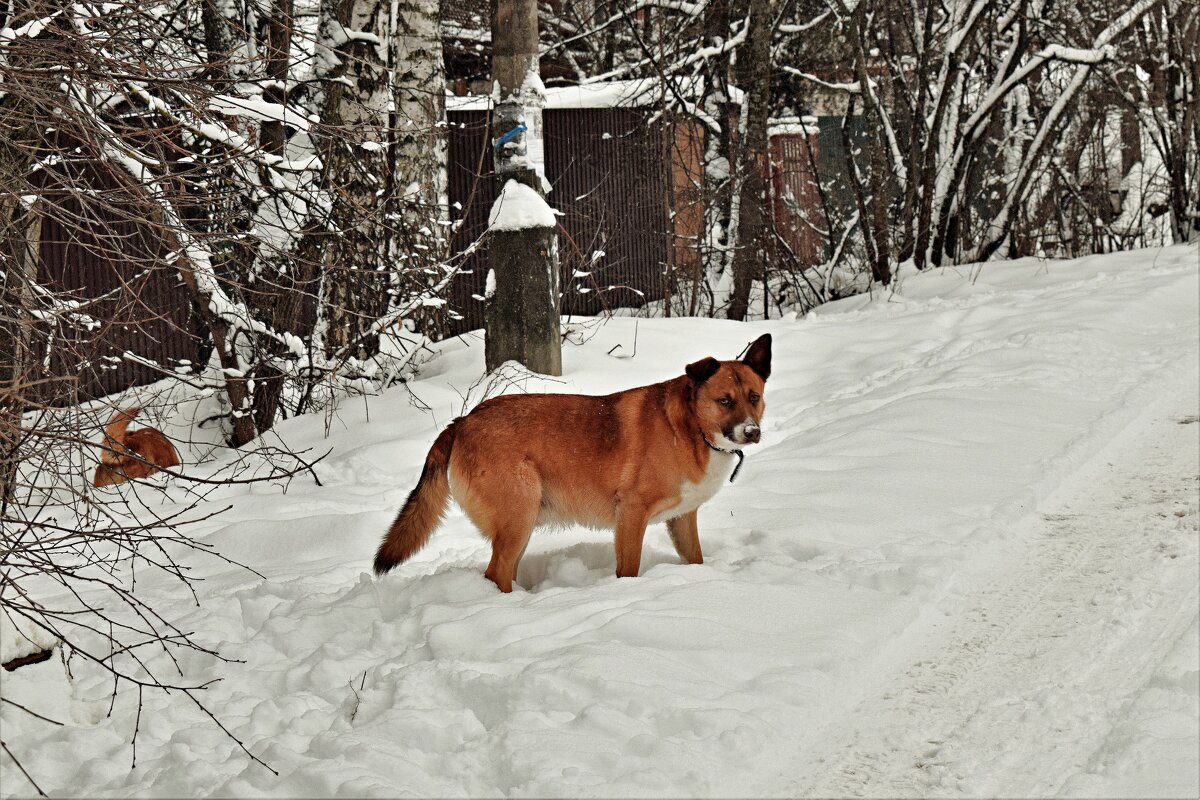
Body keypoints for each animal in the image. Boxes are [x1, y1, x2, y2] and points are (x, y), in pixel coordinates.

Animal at [369, 331, 772, 587]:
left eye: (754, 397)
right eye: (724, 401)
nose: (752, 432)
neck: (691, 429)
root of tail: (464, 420)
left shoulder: (682, 519)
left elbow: (696, 558)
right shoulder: (631, 514)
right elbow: (629, 571)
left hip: (521, 522)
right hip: (519, 517)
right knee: (495, 574)